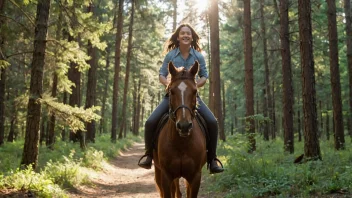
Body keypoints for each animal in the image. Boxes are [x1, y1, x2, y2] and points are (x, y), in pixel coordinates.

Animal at [153, 61, 208, 197]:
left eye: (194, 91)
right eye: (171, 91)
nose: (184, 126)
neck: (182, 143)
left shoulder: (195, 177)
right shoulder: (166, 176)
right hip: (159, 171)